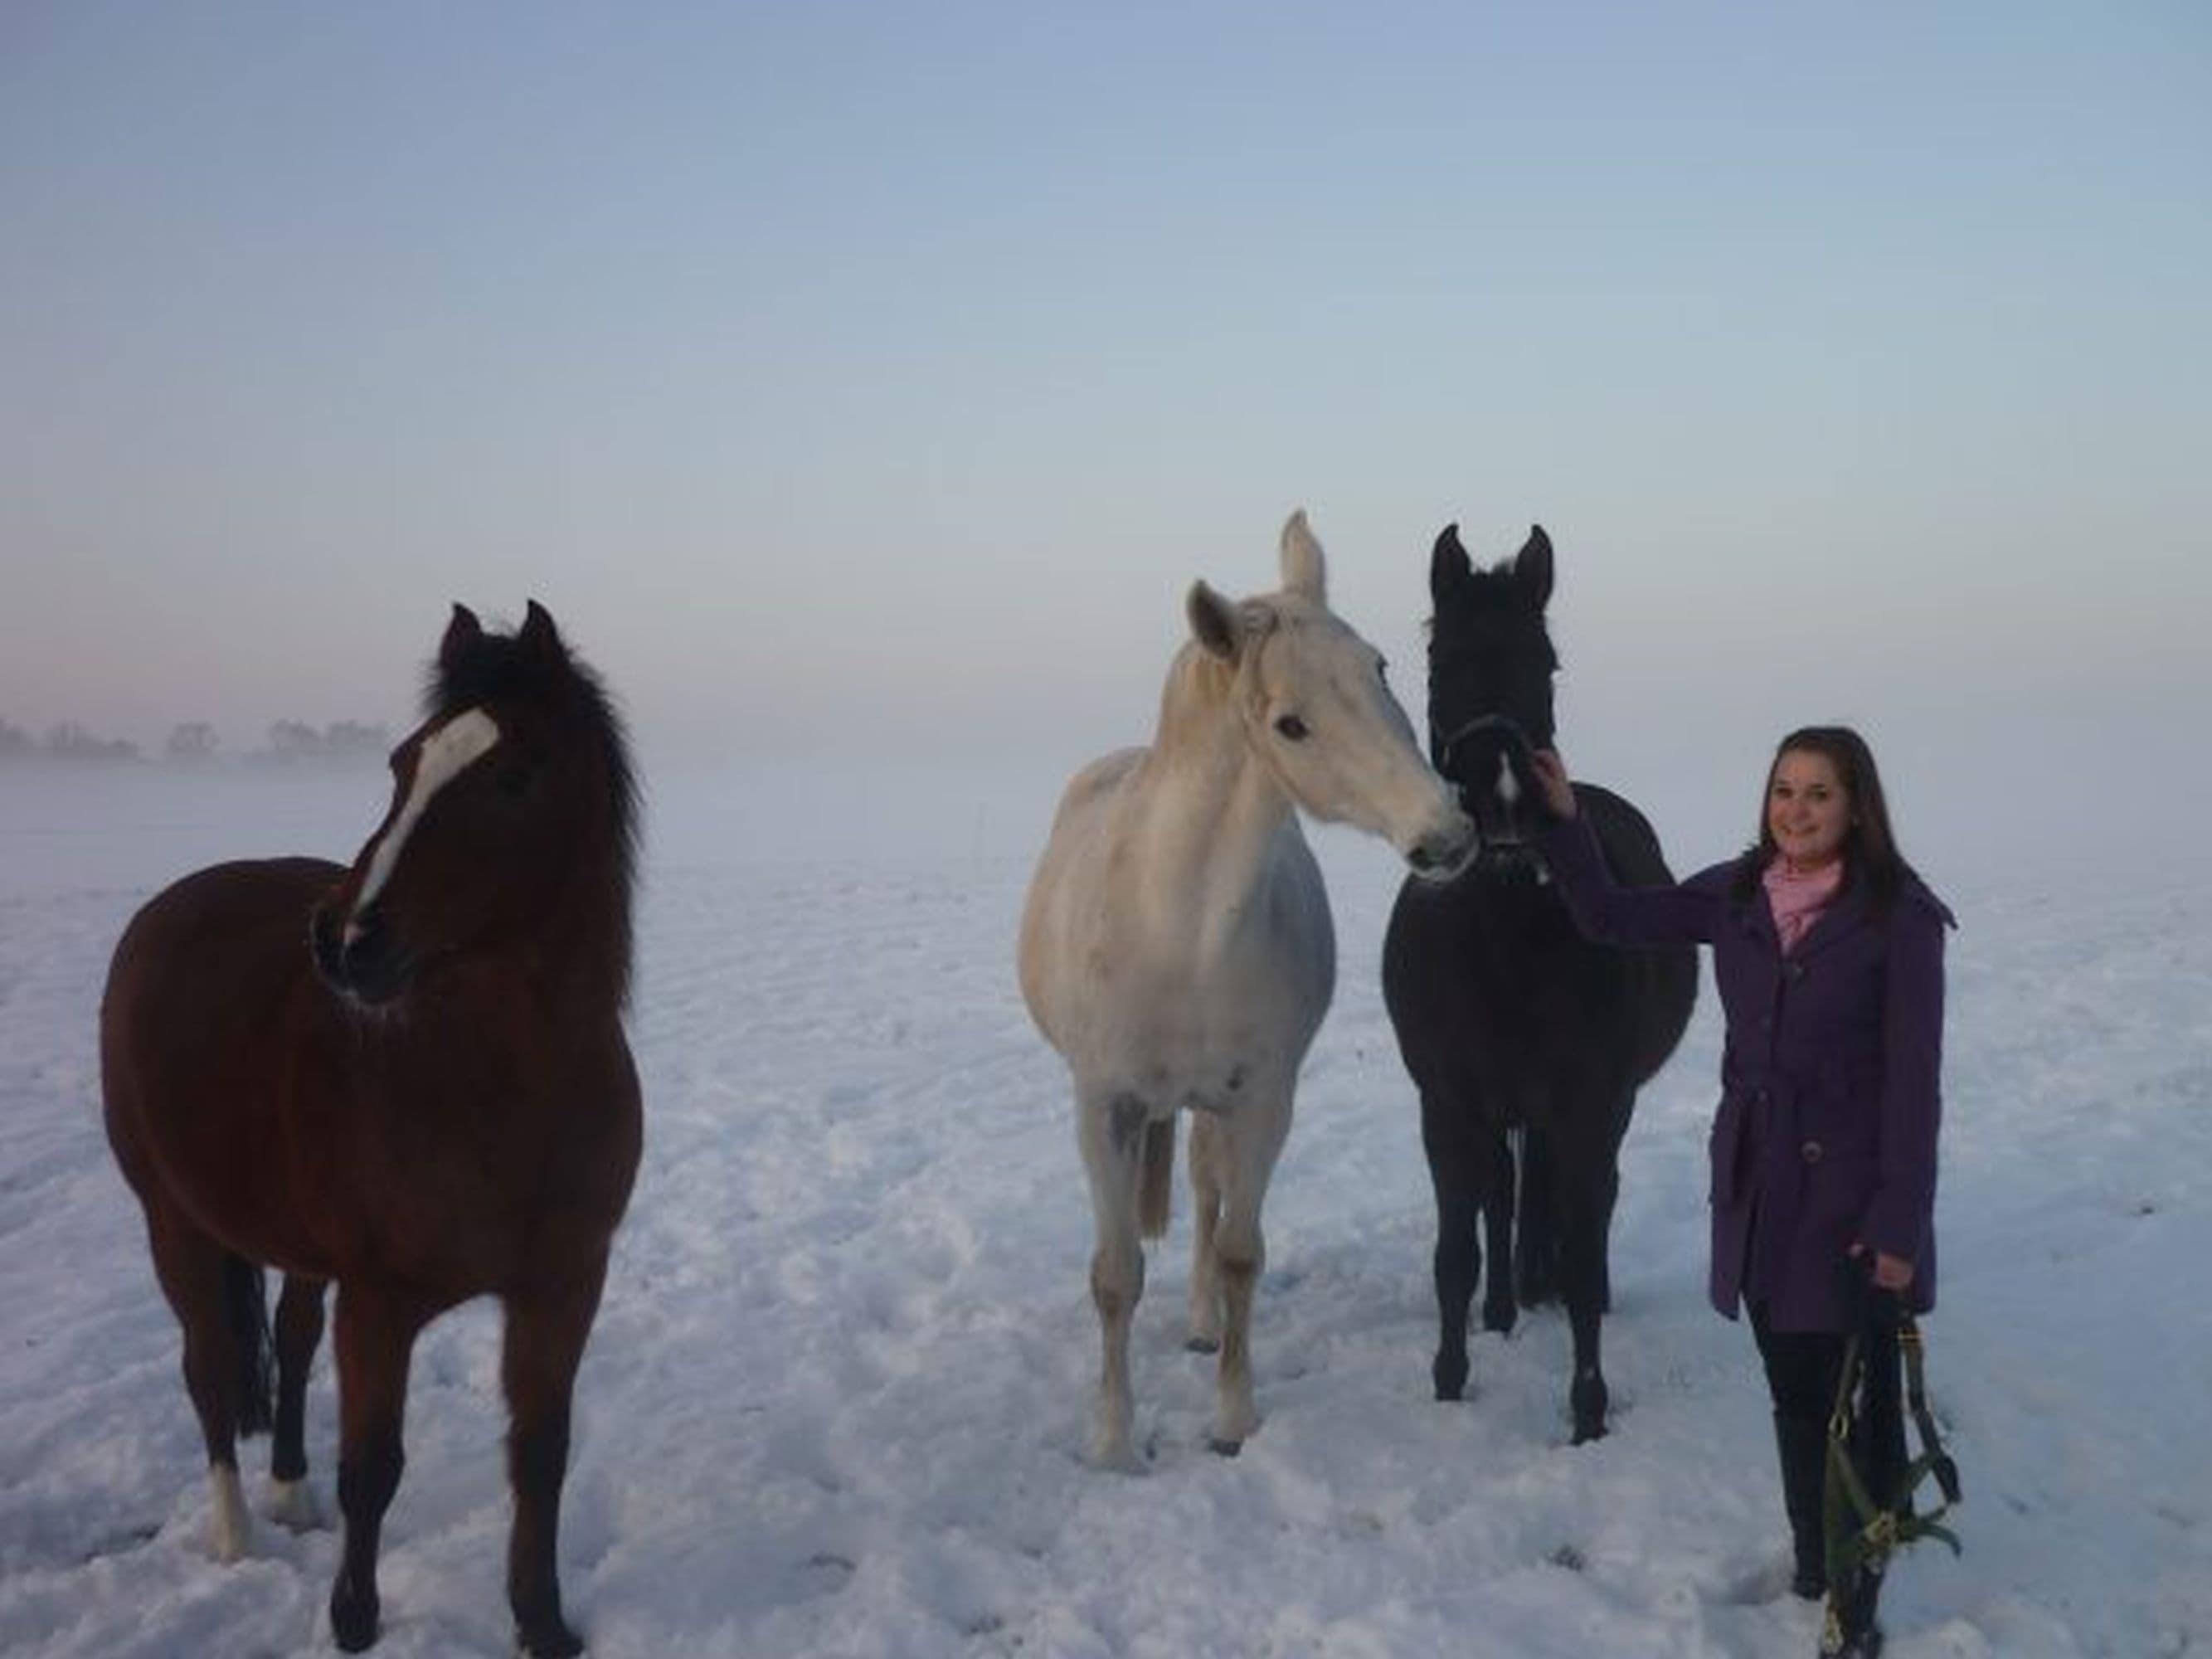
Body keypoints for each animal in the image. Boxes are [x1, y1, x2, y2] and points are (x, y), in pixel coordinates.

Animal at [99, 602, 641, 1656]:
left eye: (514, 776)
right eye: (401, 764)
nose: (343, 940)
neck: (505, 1086)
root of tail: (173, 905)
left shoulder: (562, 1284)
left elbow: (540, 1452)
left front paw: (543, 1623)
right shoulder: (382, 1301)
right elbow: (374, 1468)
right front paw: (355, 1622)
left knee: (290, 1334)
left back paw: (289, 1491)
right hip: (171, 1222)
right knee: (210, 1368)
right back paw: (236, 1532)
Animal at [1019, 510, 1477, 1469]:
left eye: (1380, 668)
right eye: (1289, 723)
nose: (1448, 836)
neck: (1182, 930)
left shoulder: (1264, 1100)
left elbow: (1238, 1251)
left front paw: (1232, 1420)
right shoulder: (1103, 1107)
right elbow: (1114, 1276)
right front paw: (1113, 1441)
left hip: (1213, 1104)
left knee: (1202, 1192)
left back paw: (1198, 1325)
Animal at [1381, 523, 1695, 1443]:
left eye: (1546, 660)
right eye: (1438, 659)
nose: (1505, 798)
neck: (1507, 939)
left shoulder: (1590, 1105)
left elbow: (1585, 1256)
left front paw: (1587, 1412)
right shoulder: (1448, 1106)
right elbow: (1455, 1252)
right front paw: (1451, 1386)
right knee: (1500, 1199)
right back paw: (1501, 1308)